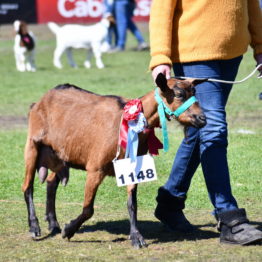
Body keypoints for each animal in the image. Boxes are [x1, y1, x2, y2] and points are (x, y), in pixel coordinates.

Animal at [22, 73, 206, 248]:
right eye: (179, 94)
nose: (202, 119)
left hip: (60, 156)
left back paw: (53, 224)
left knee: (51, 183)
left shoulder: (133, 169)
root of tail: (40, 101)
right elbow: (88, 209)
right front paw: (68, 230)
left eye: (194, 92)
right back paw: (34, 227)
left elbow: (132, 204)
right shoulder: (95, 168)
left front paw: (136, 237)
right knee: (27, 186)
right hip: (32, 145)